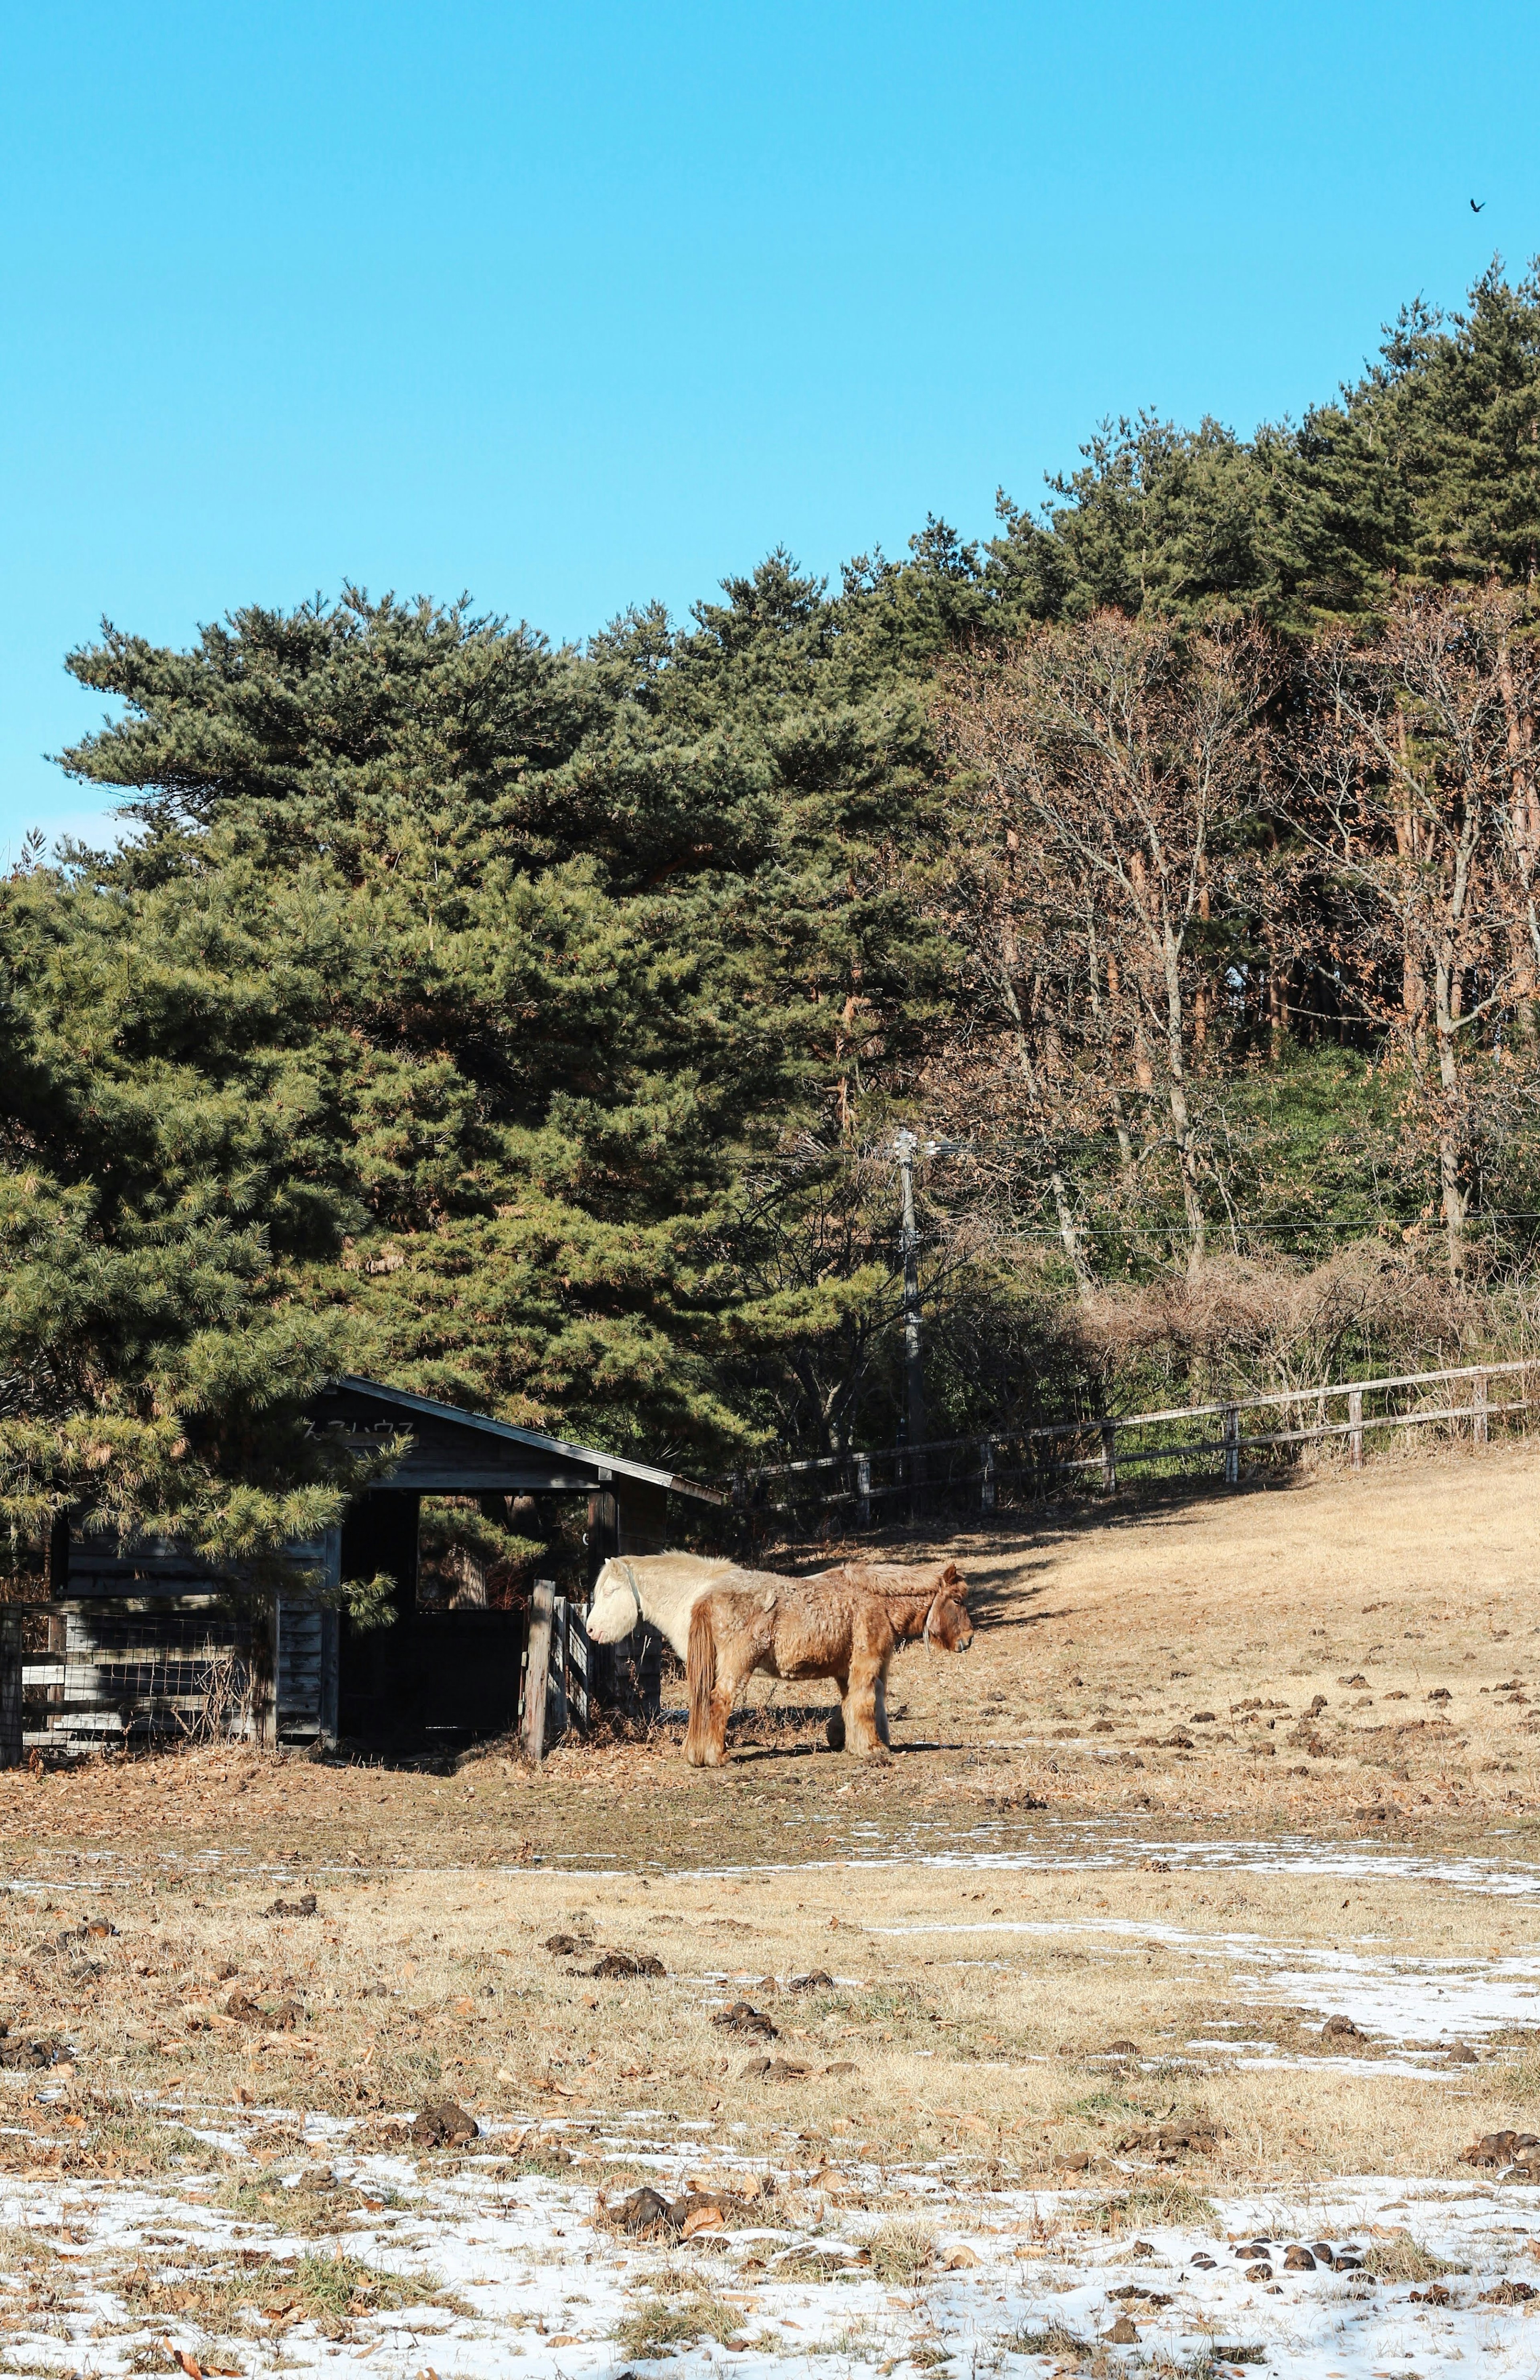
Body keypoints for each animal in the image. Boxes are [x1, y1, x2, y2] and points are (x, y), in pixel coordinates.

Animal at [690, 1561, 976, 1771]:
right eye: (958, 1600)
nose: (969, 1639)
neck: (875, 1600)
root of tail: (709, 1597)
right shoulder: (867, 1664)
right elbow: (865, 1703)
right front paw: (872, 1748)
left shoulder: (847, 1672)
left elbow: (852, 1703)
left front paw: (846, 1739)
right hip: (739, 1665)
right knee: (719, 1701)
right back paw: (717, 1756)